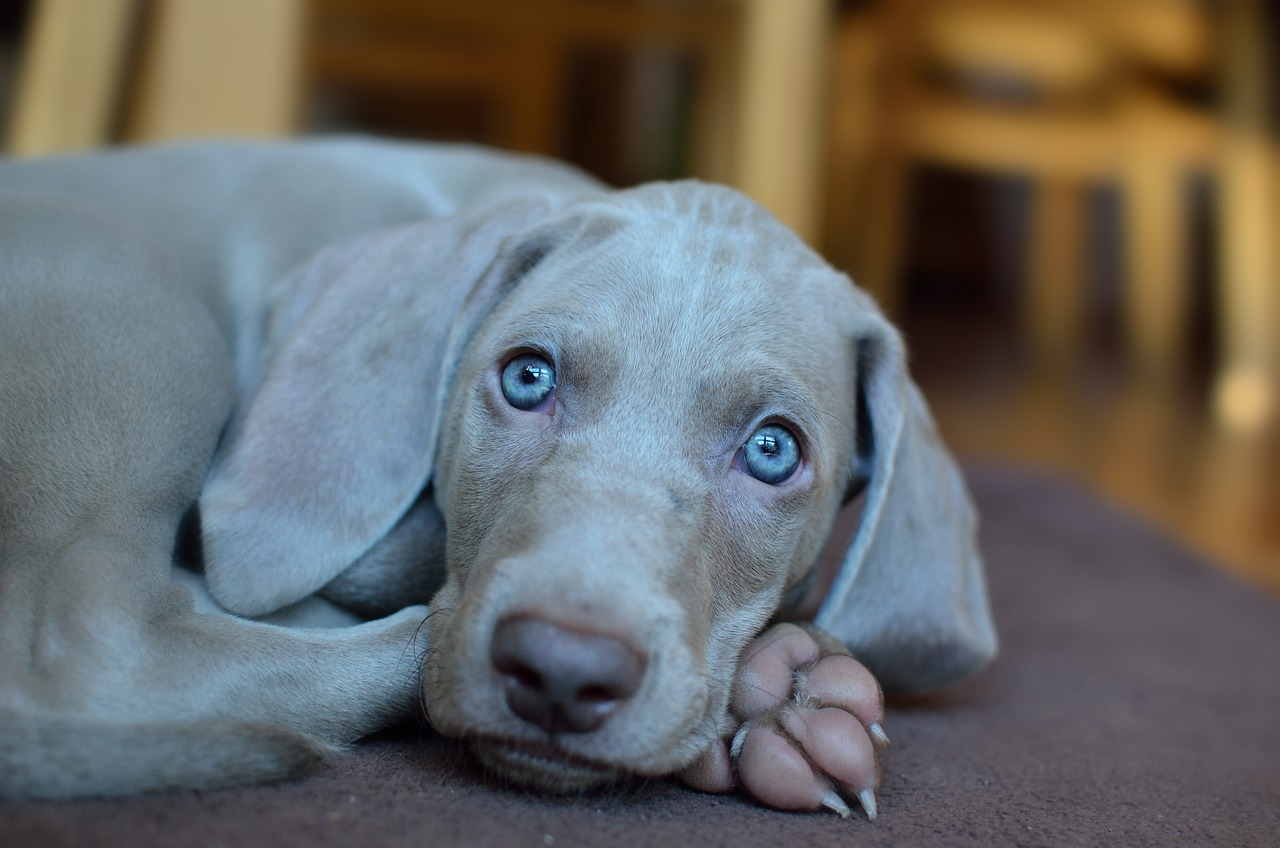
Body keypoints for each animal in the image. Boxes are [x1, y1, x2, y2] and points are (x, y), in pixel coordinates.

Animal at [0, 140, 993, 824]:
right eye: (527, 377)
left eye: (774, 450)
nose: (563, 670)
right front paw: (778, 694)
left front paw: (784, 695)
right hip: (138, 315)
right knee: (102, 645)